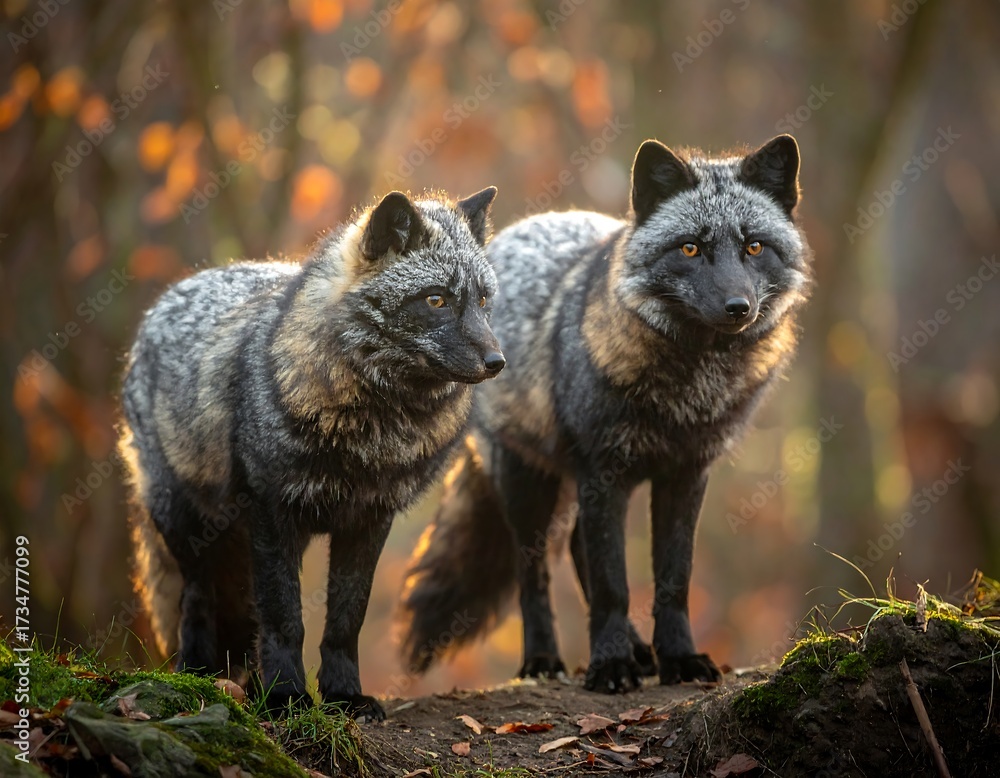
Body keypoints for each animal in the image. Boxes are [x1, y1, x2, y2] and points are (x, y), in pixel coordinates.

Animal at [119, 187, 502, 719]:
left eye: (483, 300)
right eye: (436, 299)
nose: (496, 362)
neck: (371, 432)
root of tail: (170, 296)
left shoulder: (369, 520)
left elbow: (345, 620)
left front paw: (343, 696)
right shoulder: (273, 514)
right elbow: (285, 620)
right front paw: (286, 697)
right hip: (186, 524)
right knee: (197, 601)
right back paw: (199, 676)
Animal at [397, 136, 813, 693]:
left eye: (754, 247)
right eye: (690, 248)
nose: (737, 307)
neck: (688, 389)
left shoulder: (685, 474)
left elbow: (673, 578)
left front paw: (677, 658)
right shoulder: (604, 473)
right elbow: (613, 581)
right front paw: (611, 665)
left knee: (576, 545)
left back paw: (638, 652)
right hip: (527, 483)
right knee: (534, 573)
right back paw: (543, 661)